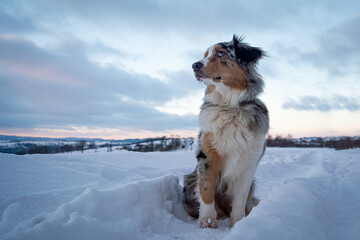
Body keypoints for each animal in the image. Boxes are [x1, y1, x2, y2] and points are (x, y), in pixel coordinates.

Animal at [184, 34, 268, 228]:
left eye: (221, 53)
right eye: (204, 55)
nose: (194, 65)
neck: (230, 106)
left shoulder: (249, 161)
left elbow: (241, 197)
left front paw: (238, 223)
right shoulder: (207, 156)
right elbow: (206, 190)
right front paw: (207, 221)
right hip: (189, 179)